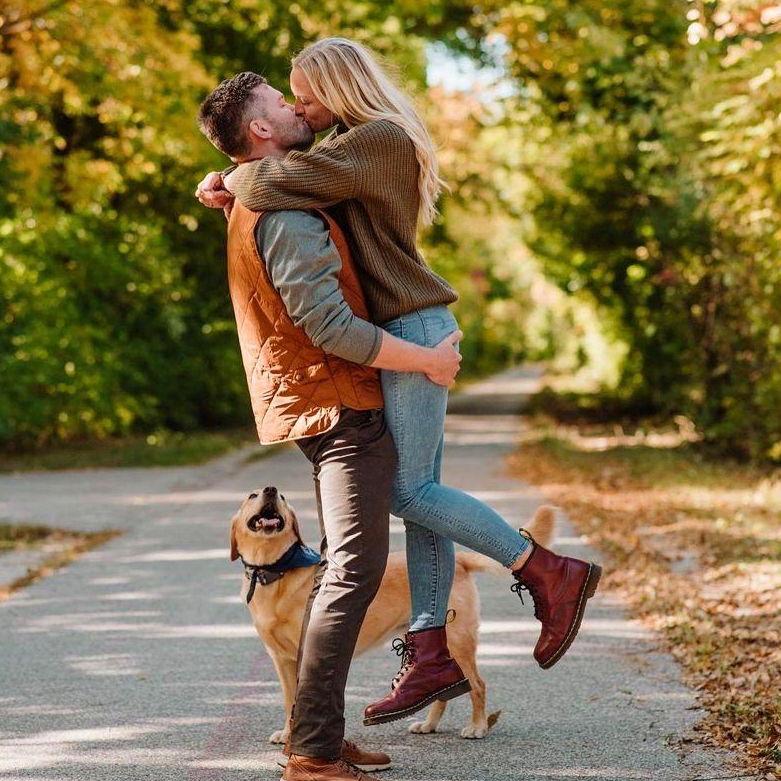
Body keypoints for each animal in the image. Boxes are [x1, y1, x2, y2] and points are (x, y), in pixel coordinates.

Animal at [229, 482, 556, 744]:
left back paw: (477, 727)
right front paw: (288, 734)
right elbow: (288, 701)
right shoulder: (280, 659)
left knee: (478, 685)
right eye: (251, 495)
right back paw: (429, 724)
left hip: (458, 640)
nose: (271, 490)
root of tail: (460, 561)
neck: (275, 572)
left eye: (282, 498)